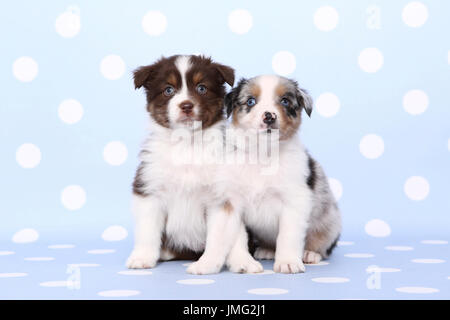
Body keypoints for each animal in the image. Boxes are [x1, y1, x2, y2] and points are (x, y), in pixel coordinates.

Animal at [123, 55, 236, 270]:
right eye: (168, 90)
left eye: (201, 88)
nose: (186, 106)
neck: (186, 144)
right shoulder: (150, 189)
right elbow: (148, 230)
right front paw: (142, 257)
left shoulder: (219, 196)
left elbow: (218, 235)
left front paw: (207, 264)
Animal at [207, 74, 342, 274]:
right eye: (251, 101)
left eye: (285, 101)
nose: (269, 116)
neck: (263, 154)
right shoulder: (231, 200)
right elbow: (231, 236)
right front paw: (238, 262)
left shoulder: (294, 201)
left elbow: (288, 235)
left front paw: (288, 262)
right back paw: (268, 250)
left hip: (330, 220)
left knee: (324, 244)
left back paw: (310, 253)